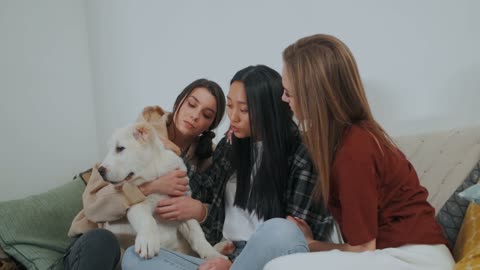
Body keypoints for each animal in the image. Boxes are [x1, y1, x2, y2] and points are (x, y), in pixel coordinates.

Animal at [97, 122, 227, 260]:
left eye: (120, 148)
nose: (100, 171)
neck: (155, 173)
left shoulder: (183, 207)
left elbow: (197, 234)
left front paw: (212, 255)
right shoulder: (137, 206)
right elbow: (148, 220)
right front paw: (148, 241)